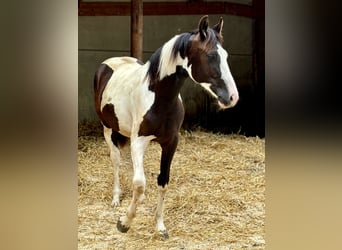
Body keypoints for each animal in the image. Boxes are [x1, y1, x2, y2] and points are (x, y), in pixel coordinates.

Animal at [93, 15, 238, 238]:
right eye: (212, 55)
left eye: (226, 55)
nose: (232, 97)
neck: (158, 97)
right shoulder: (138, 142)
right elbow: (139, 184)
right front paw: (124, 222)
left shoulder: (171, 142)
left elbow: (163, 180)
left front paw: (160, 226)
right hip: (108, 130)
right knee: (116, 161)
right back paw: (116, 198)